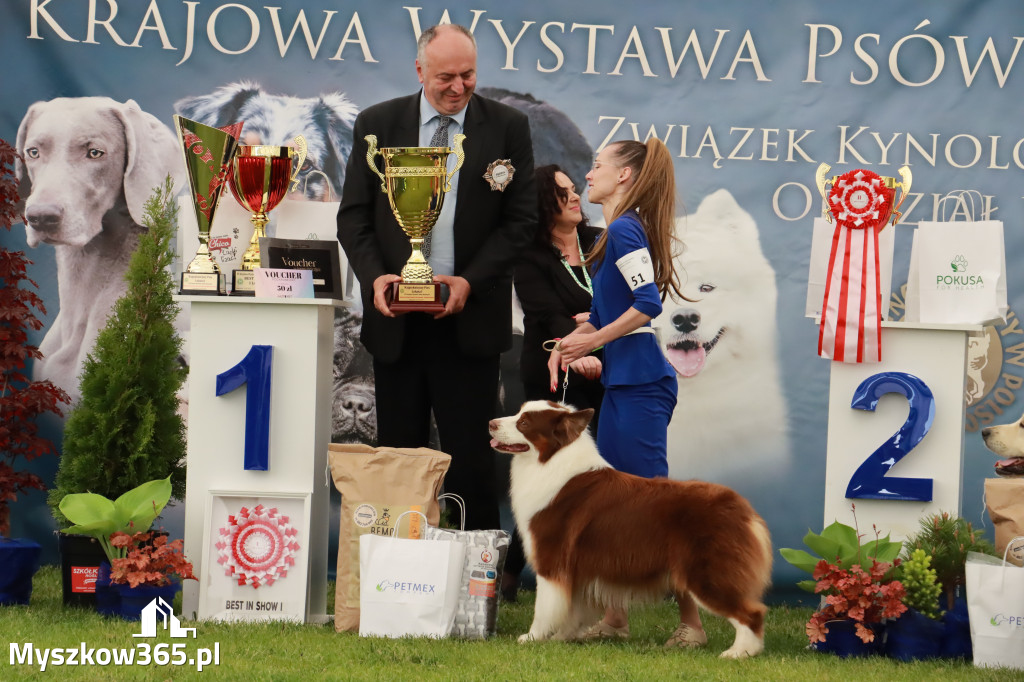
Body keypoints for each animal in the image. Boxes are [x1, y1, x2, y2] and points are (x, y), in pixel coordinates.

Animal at [491, 399, 770, 655]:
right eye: (518, 412)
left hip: (707, 572)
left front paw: (531, 637)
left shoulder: (552, 560)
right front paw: (564, 637)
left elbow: (544, 607)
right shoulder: (579, 569)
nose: (491, 423)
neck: (550, 461)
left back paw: (738, 653)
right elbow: (573, 609)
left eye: (524, 423)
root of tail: (743, 508)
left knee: (752, 612)